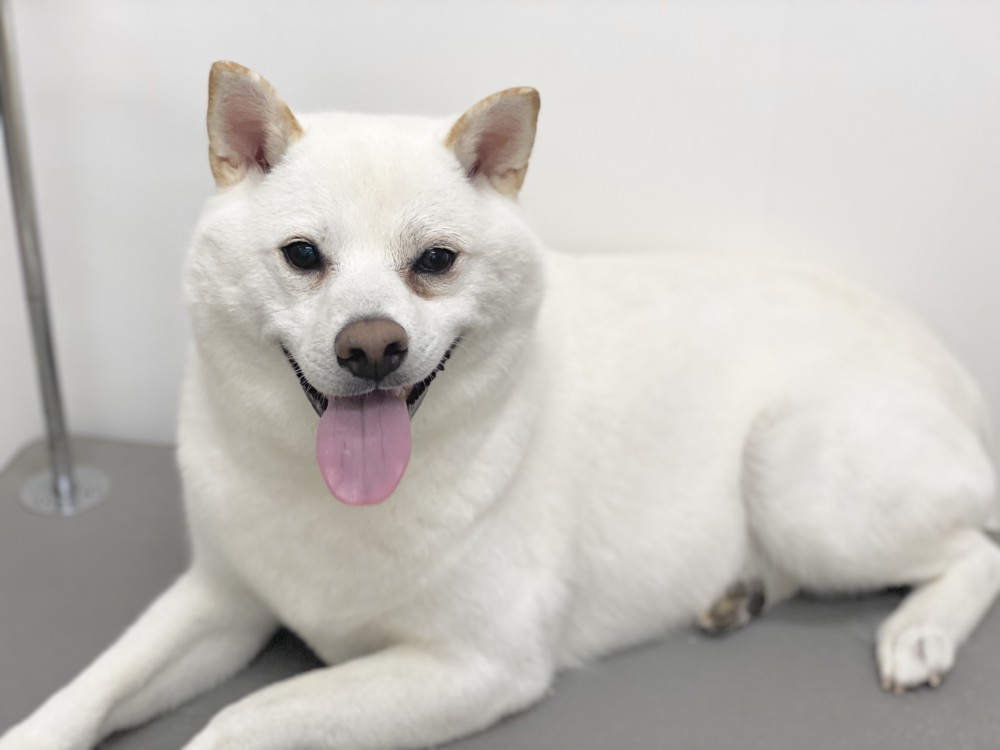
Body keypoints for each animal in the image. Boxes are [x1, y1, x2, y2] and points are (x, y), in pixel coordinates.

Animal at [3, 60, 999, 750]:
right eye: (303, 255)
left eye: (435, 262)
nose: (372, 346)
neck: (325, 498)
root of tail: (942, 360)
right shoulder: (219, 602)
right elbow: (91, 687)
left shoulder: (474, 666)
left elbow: (244, 720)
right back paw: (738, 594)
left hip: (799, 482)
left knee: (976, 552)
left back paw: (919, 632)